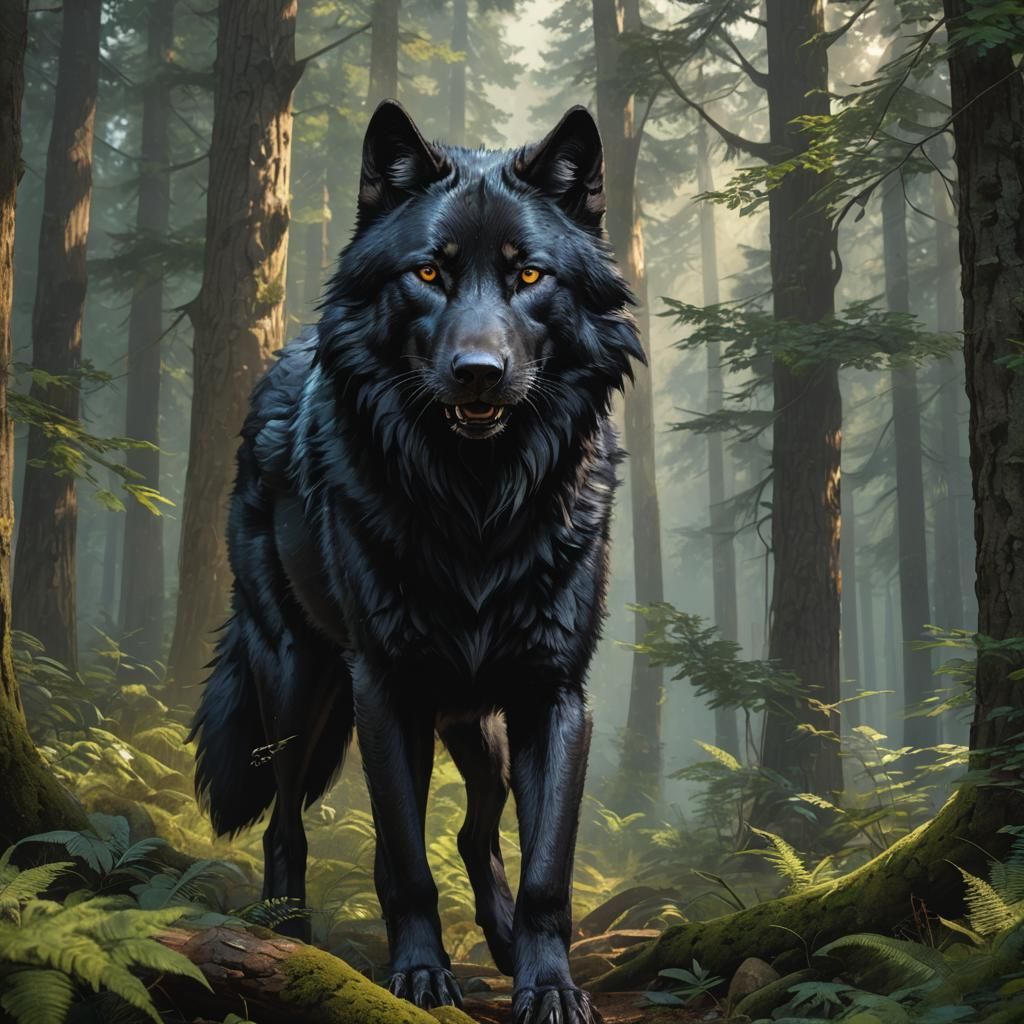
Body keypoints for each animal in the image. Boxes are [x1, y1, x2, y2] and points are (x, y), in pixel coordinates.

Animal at [191, 100, 643, 1024]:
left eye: (530, 275)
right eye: (429, 273)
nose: (478, 372)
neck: (476, 506)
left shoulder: (553, 696)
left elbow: (546, 869)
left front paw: (549, 985)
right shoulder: (385, 690)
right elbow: (404, 858)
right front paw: (421, 976)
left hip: (475, 723)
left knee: (476, 828)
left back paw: (501, 941)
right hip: (299, 683)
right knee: (288, 819)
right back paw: (284, 932)